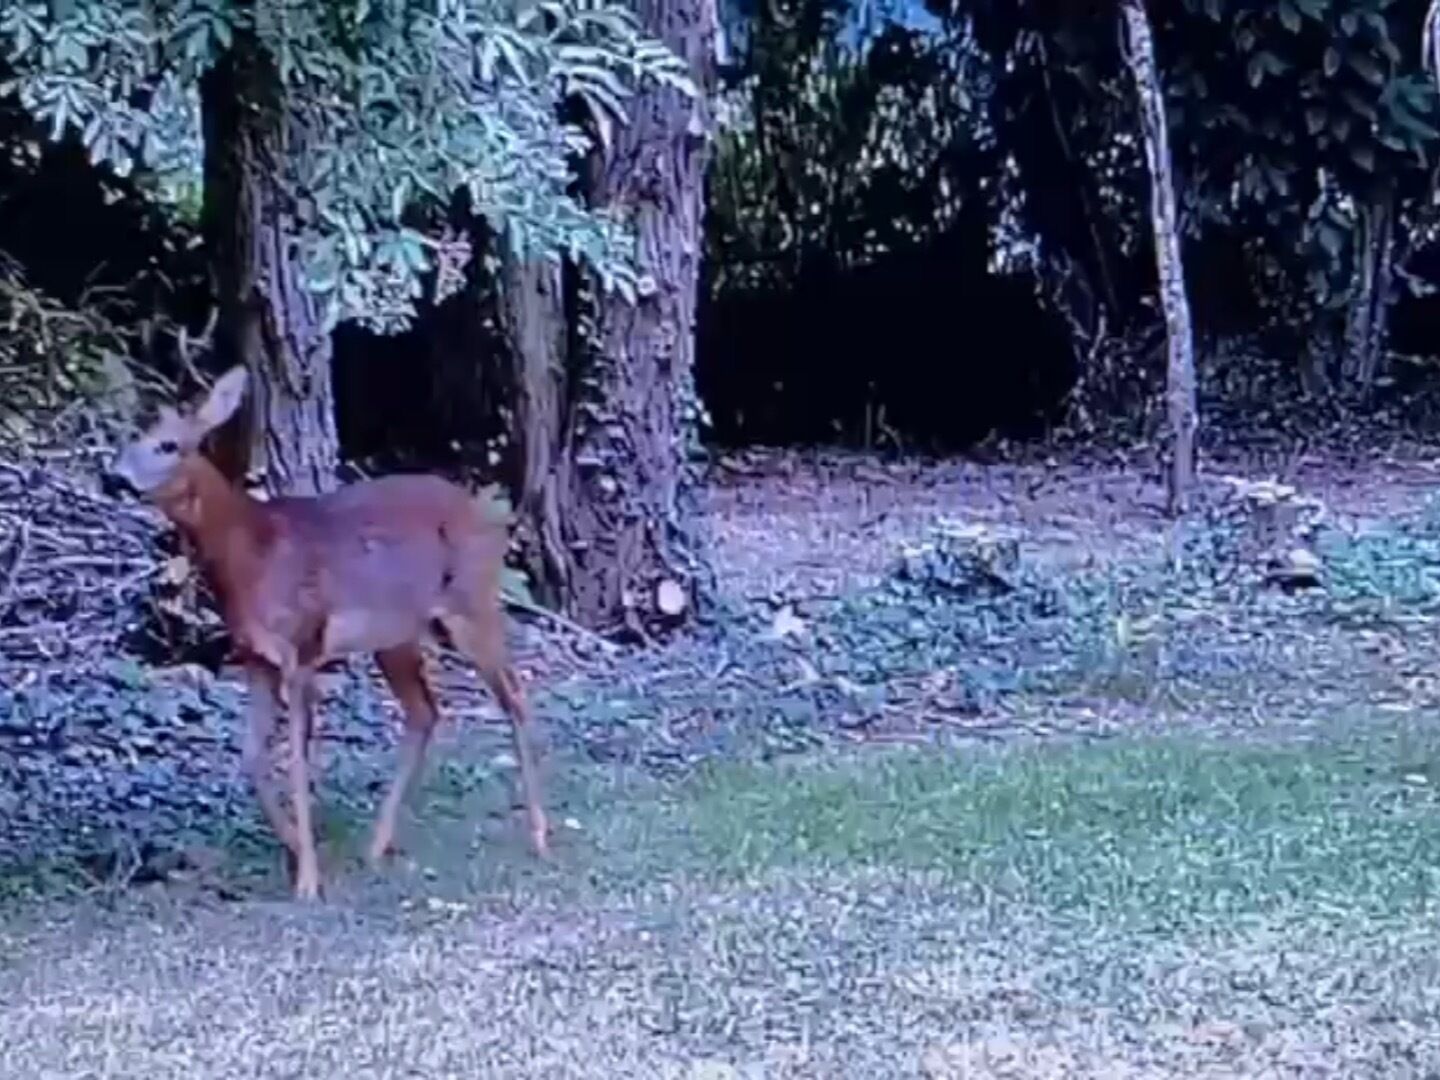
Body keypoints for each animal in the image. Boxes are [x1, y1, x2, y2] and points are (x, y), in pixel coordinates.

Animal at [100, 365, 550, 900]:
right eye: (132, 437)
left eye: (168, 445)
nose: (113, 477)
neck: (250, 554)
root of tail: (490, 516)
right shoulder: (256, 656)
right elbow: (252, 758)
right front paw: (300, 852)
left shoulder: (303, 645)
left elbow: (297, 760)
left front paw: (309, 880)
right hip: (397, 635)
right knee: (425, 712)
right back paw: (377, 846)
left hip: (472, 603)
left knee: (514, 695)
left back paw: (539, 836)